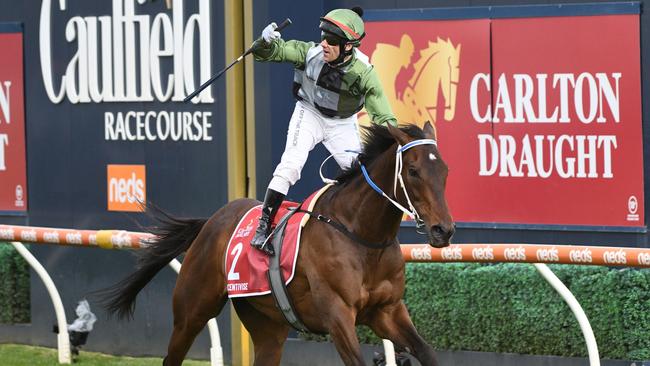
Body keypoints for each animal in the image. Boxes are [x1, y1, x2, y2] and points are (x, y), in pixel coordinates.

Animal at [102, 121, 456, 364]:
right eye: (413, 171)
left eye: (445, 170)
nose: (444, 230)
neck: (362, 235)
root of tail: (212, 220)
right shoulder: (338, 313)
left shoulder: (387, 311)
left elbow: (427, 352)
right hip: (192, 310)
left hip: (267, 325)